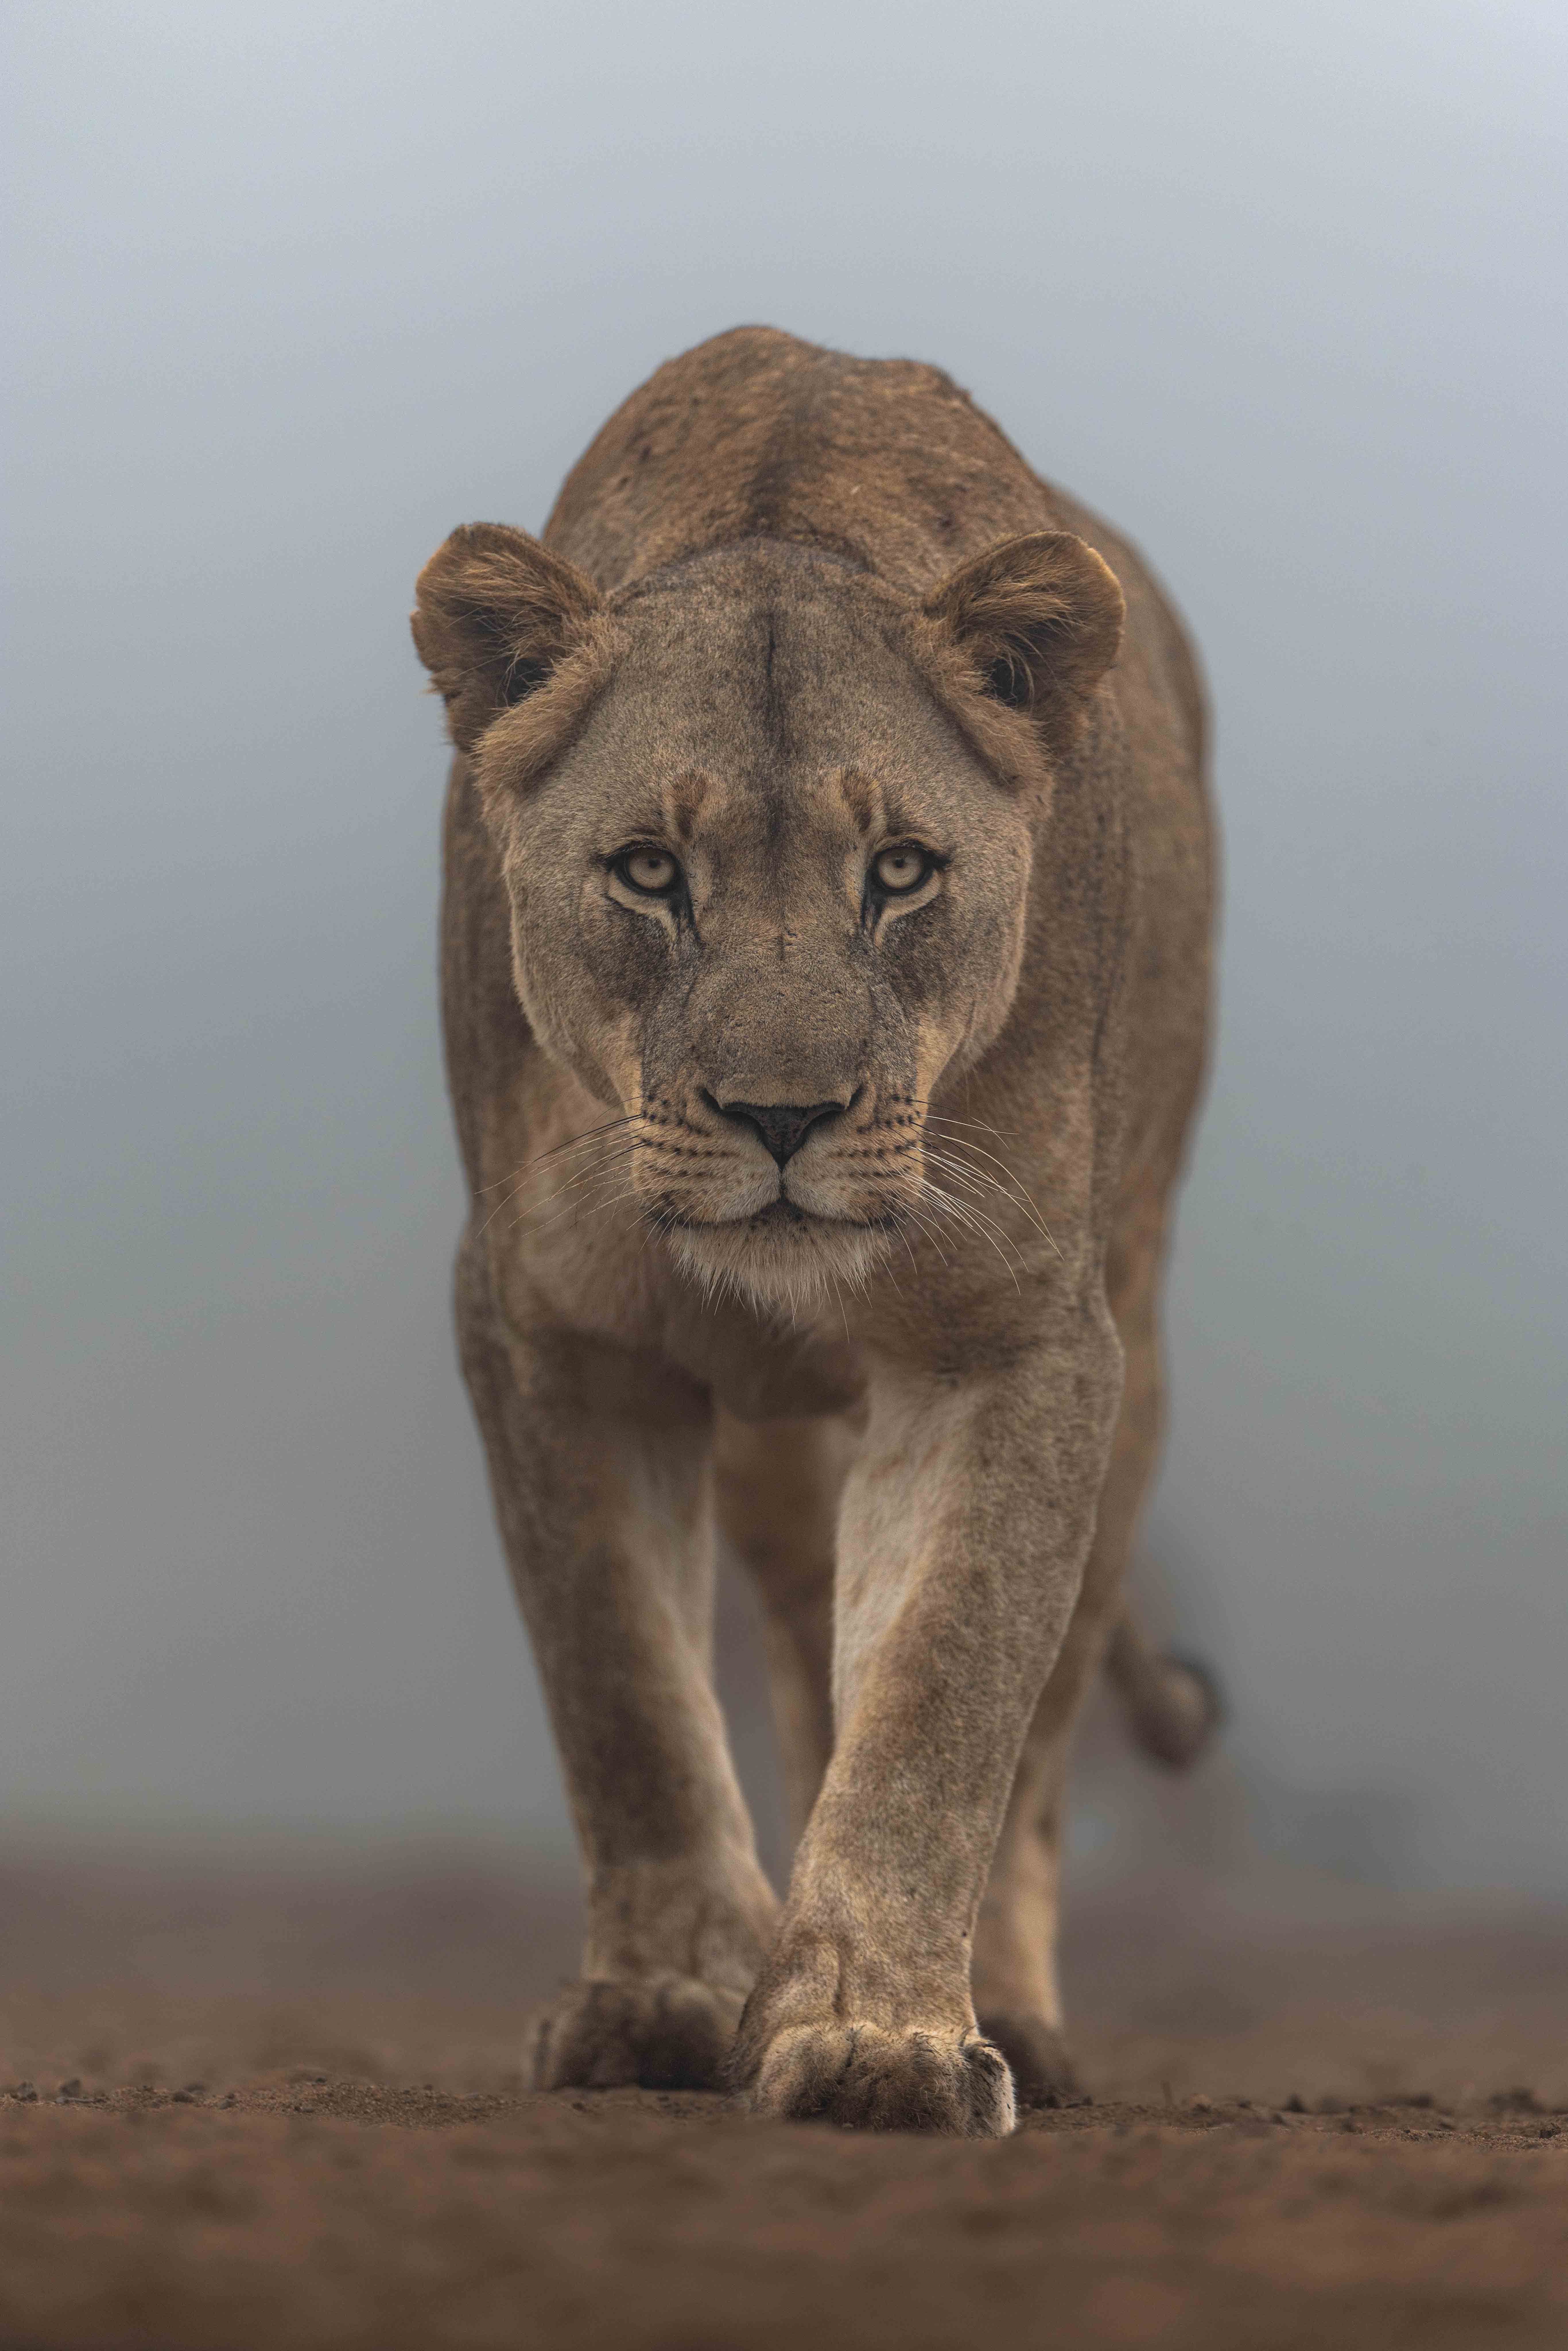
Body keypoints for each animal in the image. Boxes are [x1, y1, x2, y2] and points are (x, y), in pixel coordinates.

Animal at [411, 326, 1218, 2135]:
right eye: (649, 872)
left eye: (901, 871)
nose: (783, 1118)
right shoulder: (548, 1323)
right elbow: (624, 1687)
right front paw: (661, 1999)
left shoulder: (1020, 1332)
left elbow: (944, 1689)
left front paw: (878, 2037)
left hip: (1136, 1351)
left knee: (1038, 1725)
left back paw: (1020, 2016)